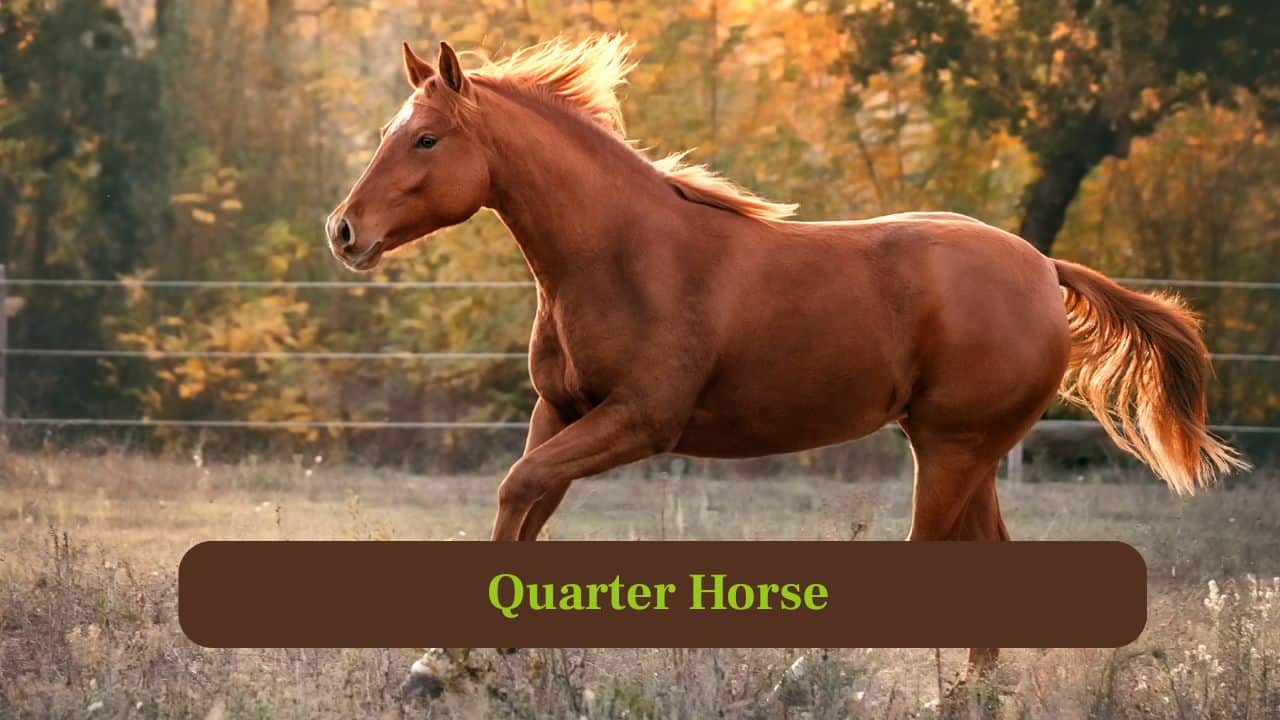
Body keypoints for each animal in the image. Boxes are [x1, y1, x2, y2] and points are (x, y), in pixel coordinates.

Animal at [325, 34, 1246, 683]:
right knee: (984, 557)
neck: (621, 256)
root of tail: (1044, 269)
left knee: (929, 553)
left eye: (427, 140)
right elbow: (524, 502)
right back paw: (965, 696)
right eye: (395, 132)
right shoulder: (561, 411)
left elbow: (520, 489)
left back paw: (814, 672)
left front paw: (462, 660)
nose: (343, 231)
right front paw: (452, 663)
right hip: (961, 448)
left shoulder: (641, 422)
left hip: (954, 445)